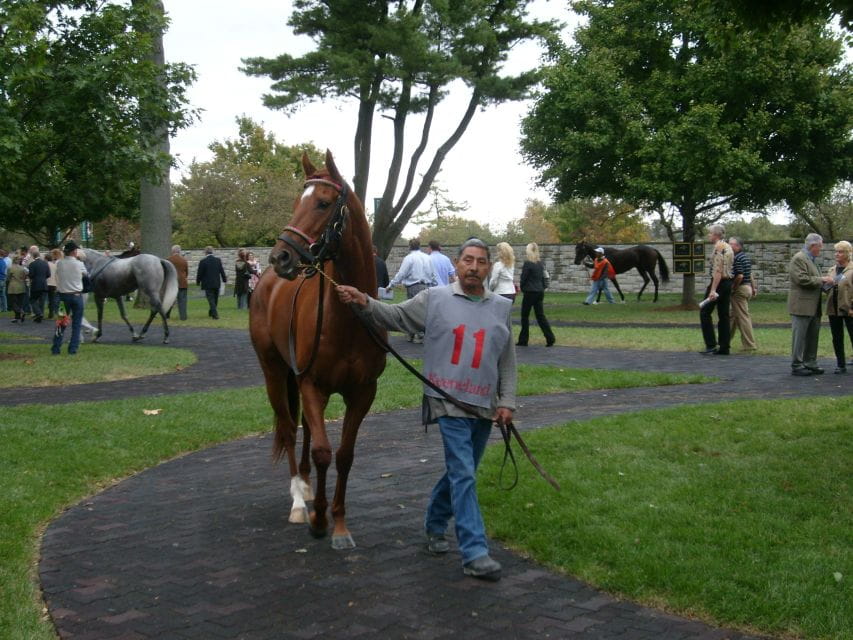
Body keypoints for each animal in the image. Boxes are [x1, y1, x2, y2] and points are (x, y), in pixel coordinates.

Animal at [249, 150, 386, 550]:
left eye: (323, 203)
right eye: (298, 202)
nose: (280, 256)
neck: (348, 321)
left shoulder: (363, 392)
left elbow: (343, 455)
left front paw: (338, 522)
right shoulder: (312, 384)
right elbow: (323, 451)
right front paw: (319, 520)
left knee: (308, 431)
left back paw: (309, 488)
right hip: (274, 372)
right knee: (288, 428)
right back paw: (299, 500)